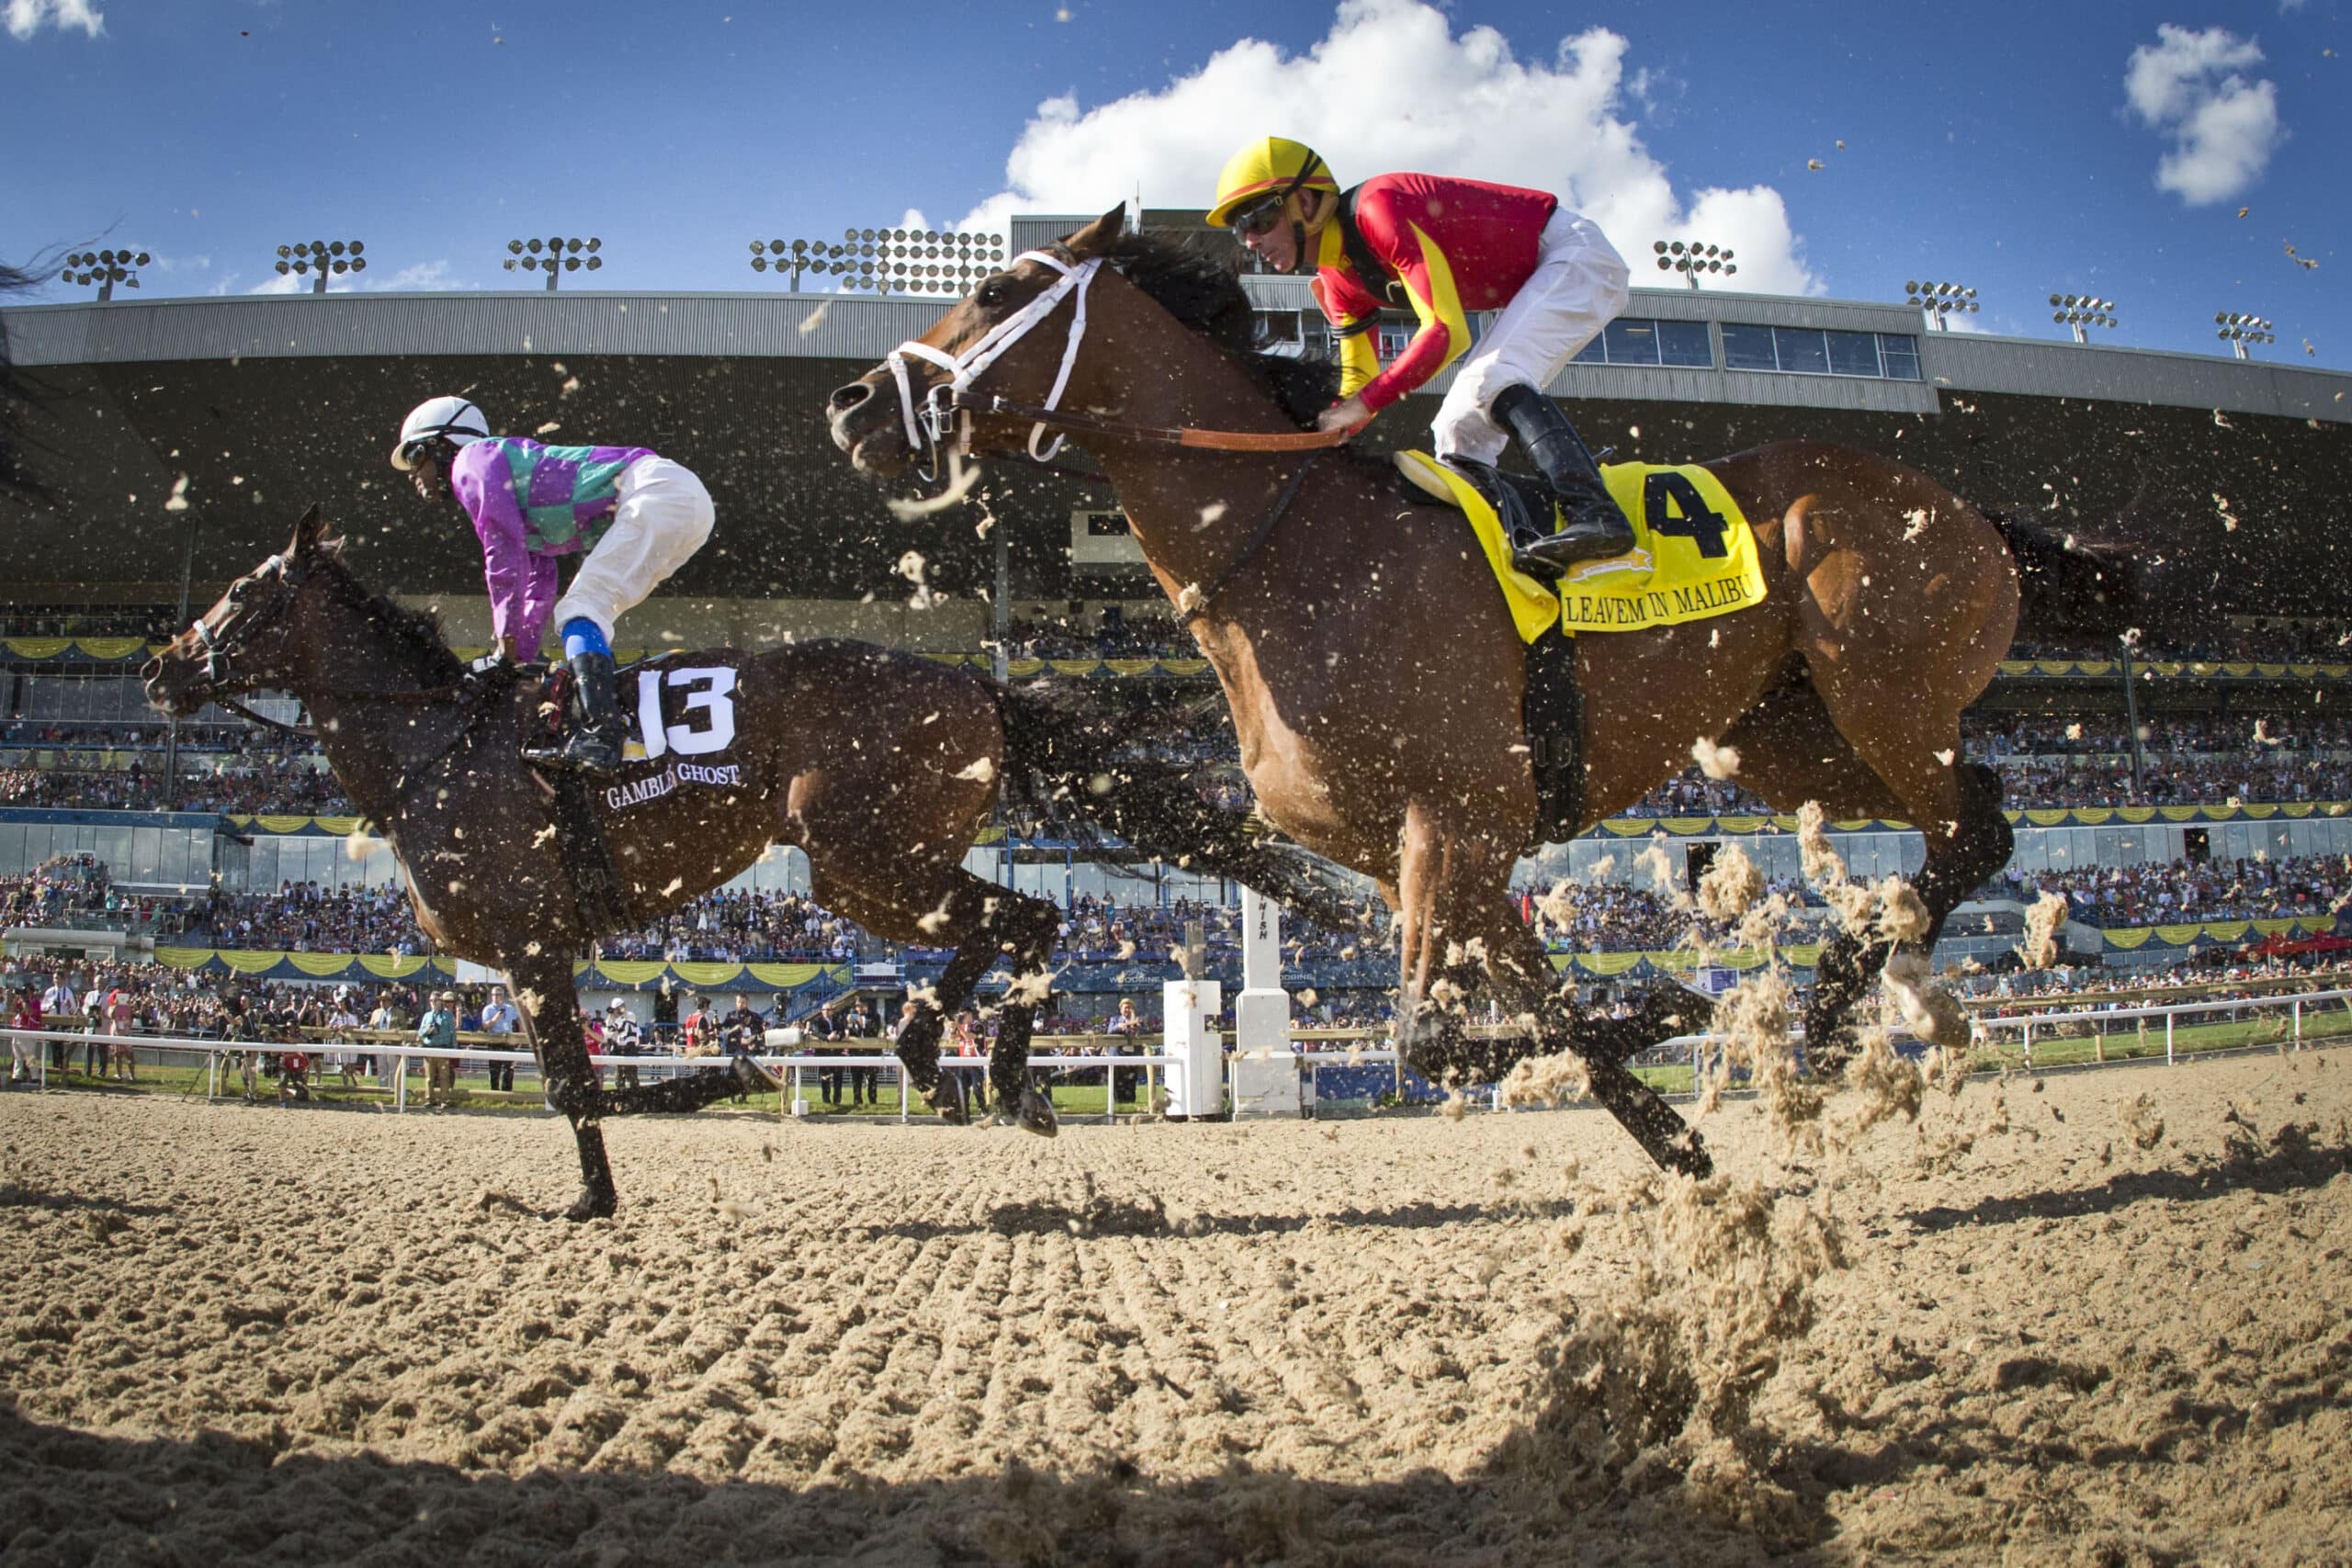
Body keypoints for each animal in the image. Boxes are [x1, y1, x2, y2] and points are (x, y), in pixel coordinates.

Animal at [152, 510, 1363, 1222]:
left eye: (244, 592)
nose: (164, 667)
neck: (434, 748)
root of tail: (976, 683)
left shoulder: (534, 946)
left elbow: (577, 1083)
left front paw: (683, 1112)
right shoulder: (537, 955)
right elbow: (580, 1081)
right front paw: (653, 1141)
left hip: (861, 859)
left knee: (1027, 919)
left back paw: (1000, 1076)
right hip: (873, 865)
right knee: (1001, 925)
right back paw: (935, 1058)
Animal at [828, 215, 2135, 1184]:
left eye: (998, 288)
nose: (851, 406)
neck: (1294, 553)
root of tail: (1965, 509)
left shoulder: (1459, 815)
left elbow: (1436, 1033)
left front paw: (1663, 1009)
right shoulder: (1437, 850)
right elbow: (1509, 1012)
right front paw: (1672, 1129)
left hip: (1883, 695)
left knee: (1976, 828)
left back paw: (1847, 992)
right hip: (1785, 741)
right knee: (1976, 812)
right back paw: (1857, 993)